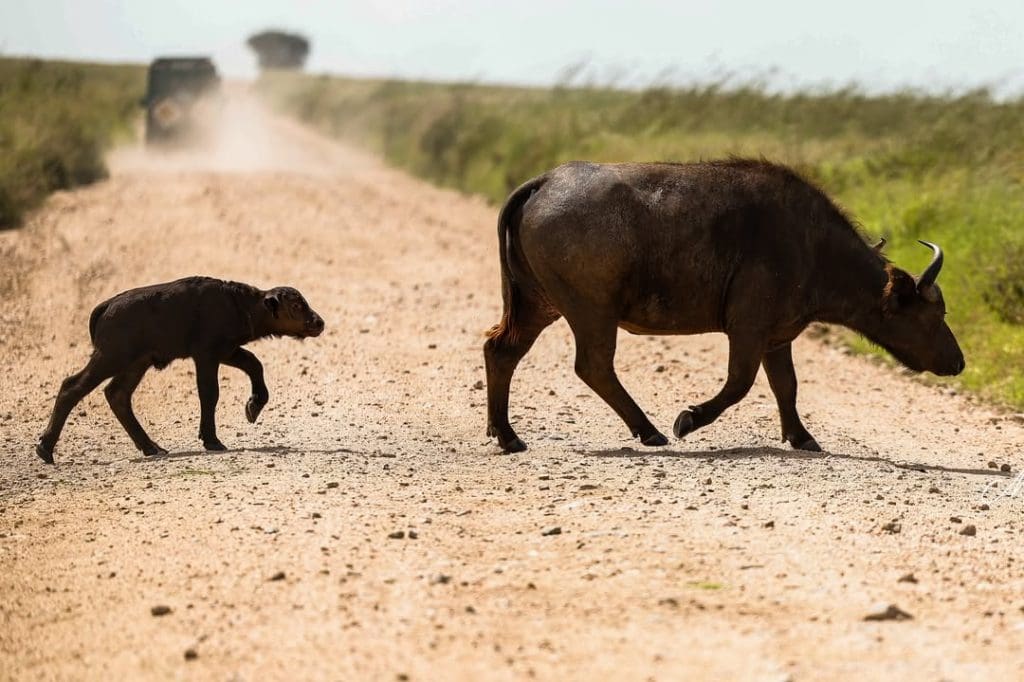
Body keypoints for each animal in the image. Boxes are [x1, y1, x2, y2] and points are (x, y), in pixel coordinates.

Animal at [35, 276, 325, 463]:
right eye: (296, 305)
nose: (319, 322)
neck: (240, 304)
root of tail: (106, 306)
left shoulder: (227, 351)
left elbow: (255, 364)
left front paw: (253, 407)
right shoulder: (206, 355)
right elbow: (209, 393)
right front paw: (212, 440)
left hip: (136, 362)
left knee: (117, 394)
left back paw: (152, 447)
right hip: (112, 357)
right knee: (72, 386)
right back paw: (45, 450)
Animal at [483, 159, 964, 453]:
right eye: (932, 315)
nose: (958, 362)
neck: (811, 247)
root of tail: (545, 182)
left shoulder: (777, 338)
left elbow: (786, 387)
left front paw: (802, 437)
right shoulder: (747, 329)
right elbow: (739, 383)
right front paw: (688, 419)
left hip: (538, 303)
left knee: (501, 349)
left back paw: (507, 436)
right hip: (589, 310)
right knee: (593, 365)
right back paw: (650, 431)